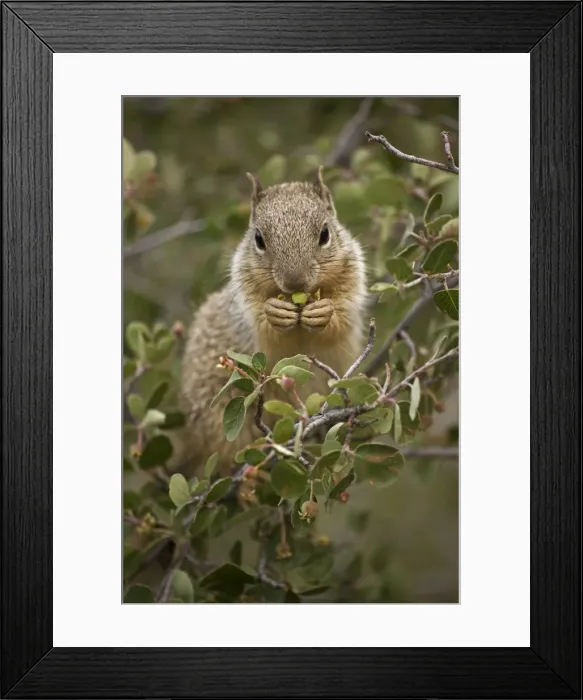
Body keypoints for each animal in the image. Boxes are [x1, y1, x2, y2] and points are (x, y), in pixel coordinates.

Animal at [180, 166, 367, 471]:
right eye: (258, 239)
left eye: (325, 233)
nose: (295, 282)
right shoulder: (244, 304)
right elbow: (263, 326)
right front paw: (275, 313)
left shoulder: (353, 280)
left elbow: (341, 317)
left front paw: (323, 312)